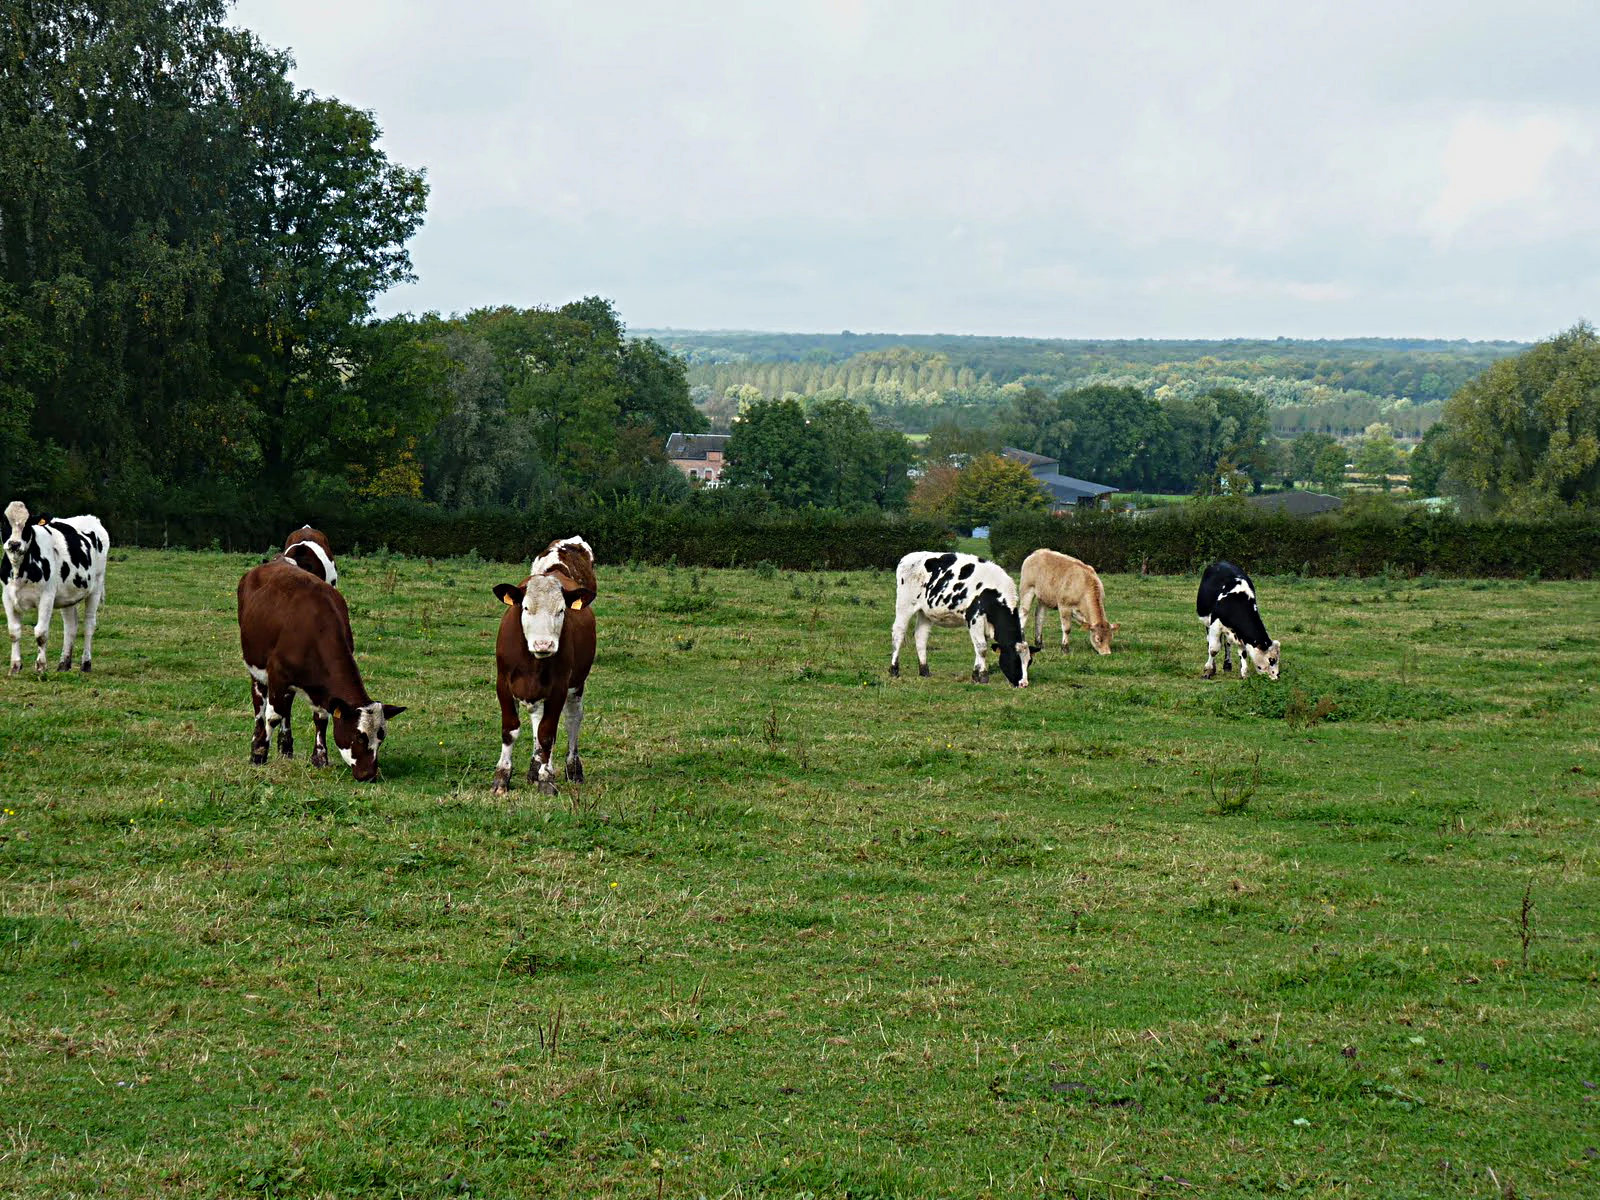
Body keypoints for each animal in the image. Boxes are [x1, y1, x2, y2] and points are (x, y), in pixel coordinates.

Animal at [2, 500, 110, 675]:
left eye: (27, 524)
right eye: (4, 522)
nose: (14, 544)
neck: (20, 569)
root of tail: (90, 517)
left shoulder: (47, 596)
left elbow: (41, 633)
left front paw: (41, 666)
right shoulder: (7, 596)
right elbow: (13, 632)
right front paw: (15, 667)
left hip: (96, 587)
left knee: (89, 625)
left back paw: (86, 664)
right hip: (68, 595)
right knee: (70, 626)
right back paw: (63, 664)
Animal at [237, 560, 405, 780]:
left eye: (381, 738)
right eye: (359, 737)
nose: (368, 774)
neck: (316, 630)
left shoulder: (322, 690)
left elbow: (321, 719)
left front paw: (320, 758)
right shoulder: (277, 675)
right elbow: (272, 717)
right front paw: (260, 754)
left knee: (286, 707)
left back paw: (286, 748)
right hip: (256, 667)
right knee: (260, 706)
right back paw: (257, 743)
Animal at [490, 536, 598, 795]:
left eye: (561, 610)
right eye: (526, 607)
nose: (544, 643)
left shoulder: (559, 687)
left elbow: (548, 733)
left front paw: (546, 780)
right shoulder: (503, 683)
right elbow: (510, 730)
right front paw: (501, 779)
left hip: (577, 683)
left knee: (572, 719)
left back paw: (572, 769)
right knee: (537, 720)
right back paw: (533, 768)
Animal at [890, 551, 1031, 686]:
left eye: (1029, 662)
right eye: (1015, 661)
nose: (1024, 684)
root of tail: (908, 557)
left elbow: (979, 648)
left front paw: (975, 675)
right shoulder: (975, 618)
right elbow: (982, 648)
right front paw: (983, 677)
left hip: (925, 612)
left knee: (921, 636)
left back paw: (924, 671)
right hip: (904, 605)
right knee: (898, 632)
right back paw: (894, 670)